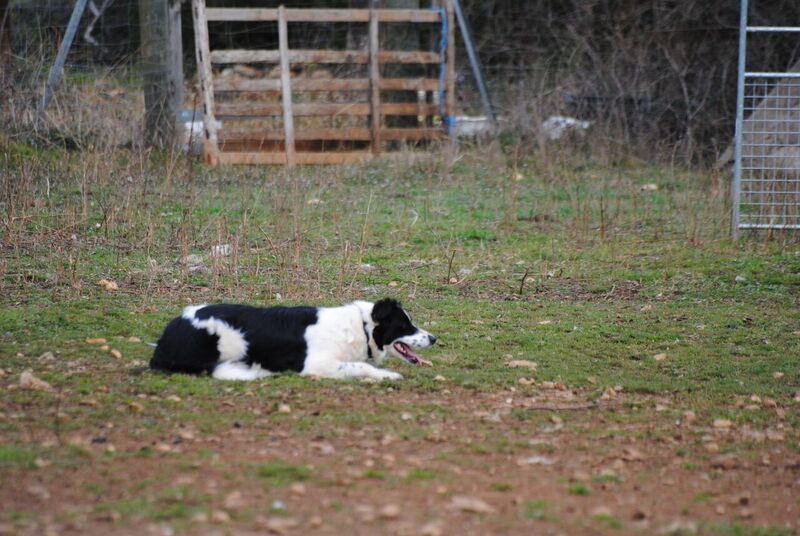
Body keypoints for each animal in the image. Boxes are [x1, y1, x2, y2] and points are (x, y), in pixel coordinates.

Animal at [150, 298, 438, 382]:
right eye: (405, 325)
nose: (434, 338)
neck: (361, 328)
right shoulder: (316, 364)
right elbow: (361, 365)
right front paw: (388, 375)